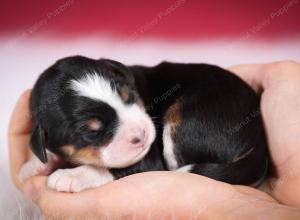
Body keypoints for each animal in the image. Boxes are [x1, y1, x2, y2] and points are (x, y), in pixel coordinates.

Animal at [19, 55, 270, 192]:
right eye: (91, 132)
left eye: (128, 95)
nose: (140, 135)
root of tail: (259, 139)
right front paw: (34, 165)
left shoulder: (149, 159)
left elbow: (116, 167)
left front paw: (73, 176)